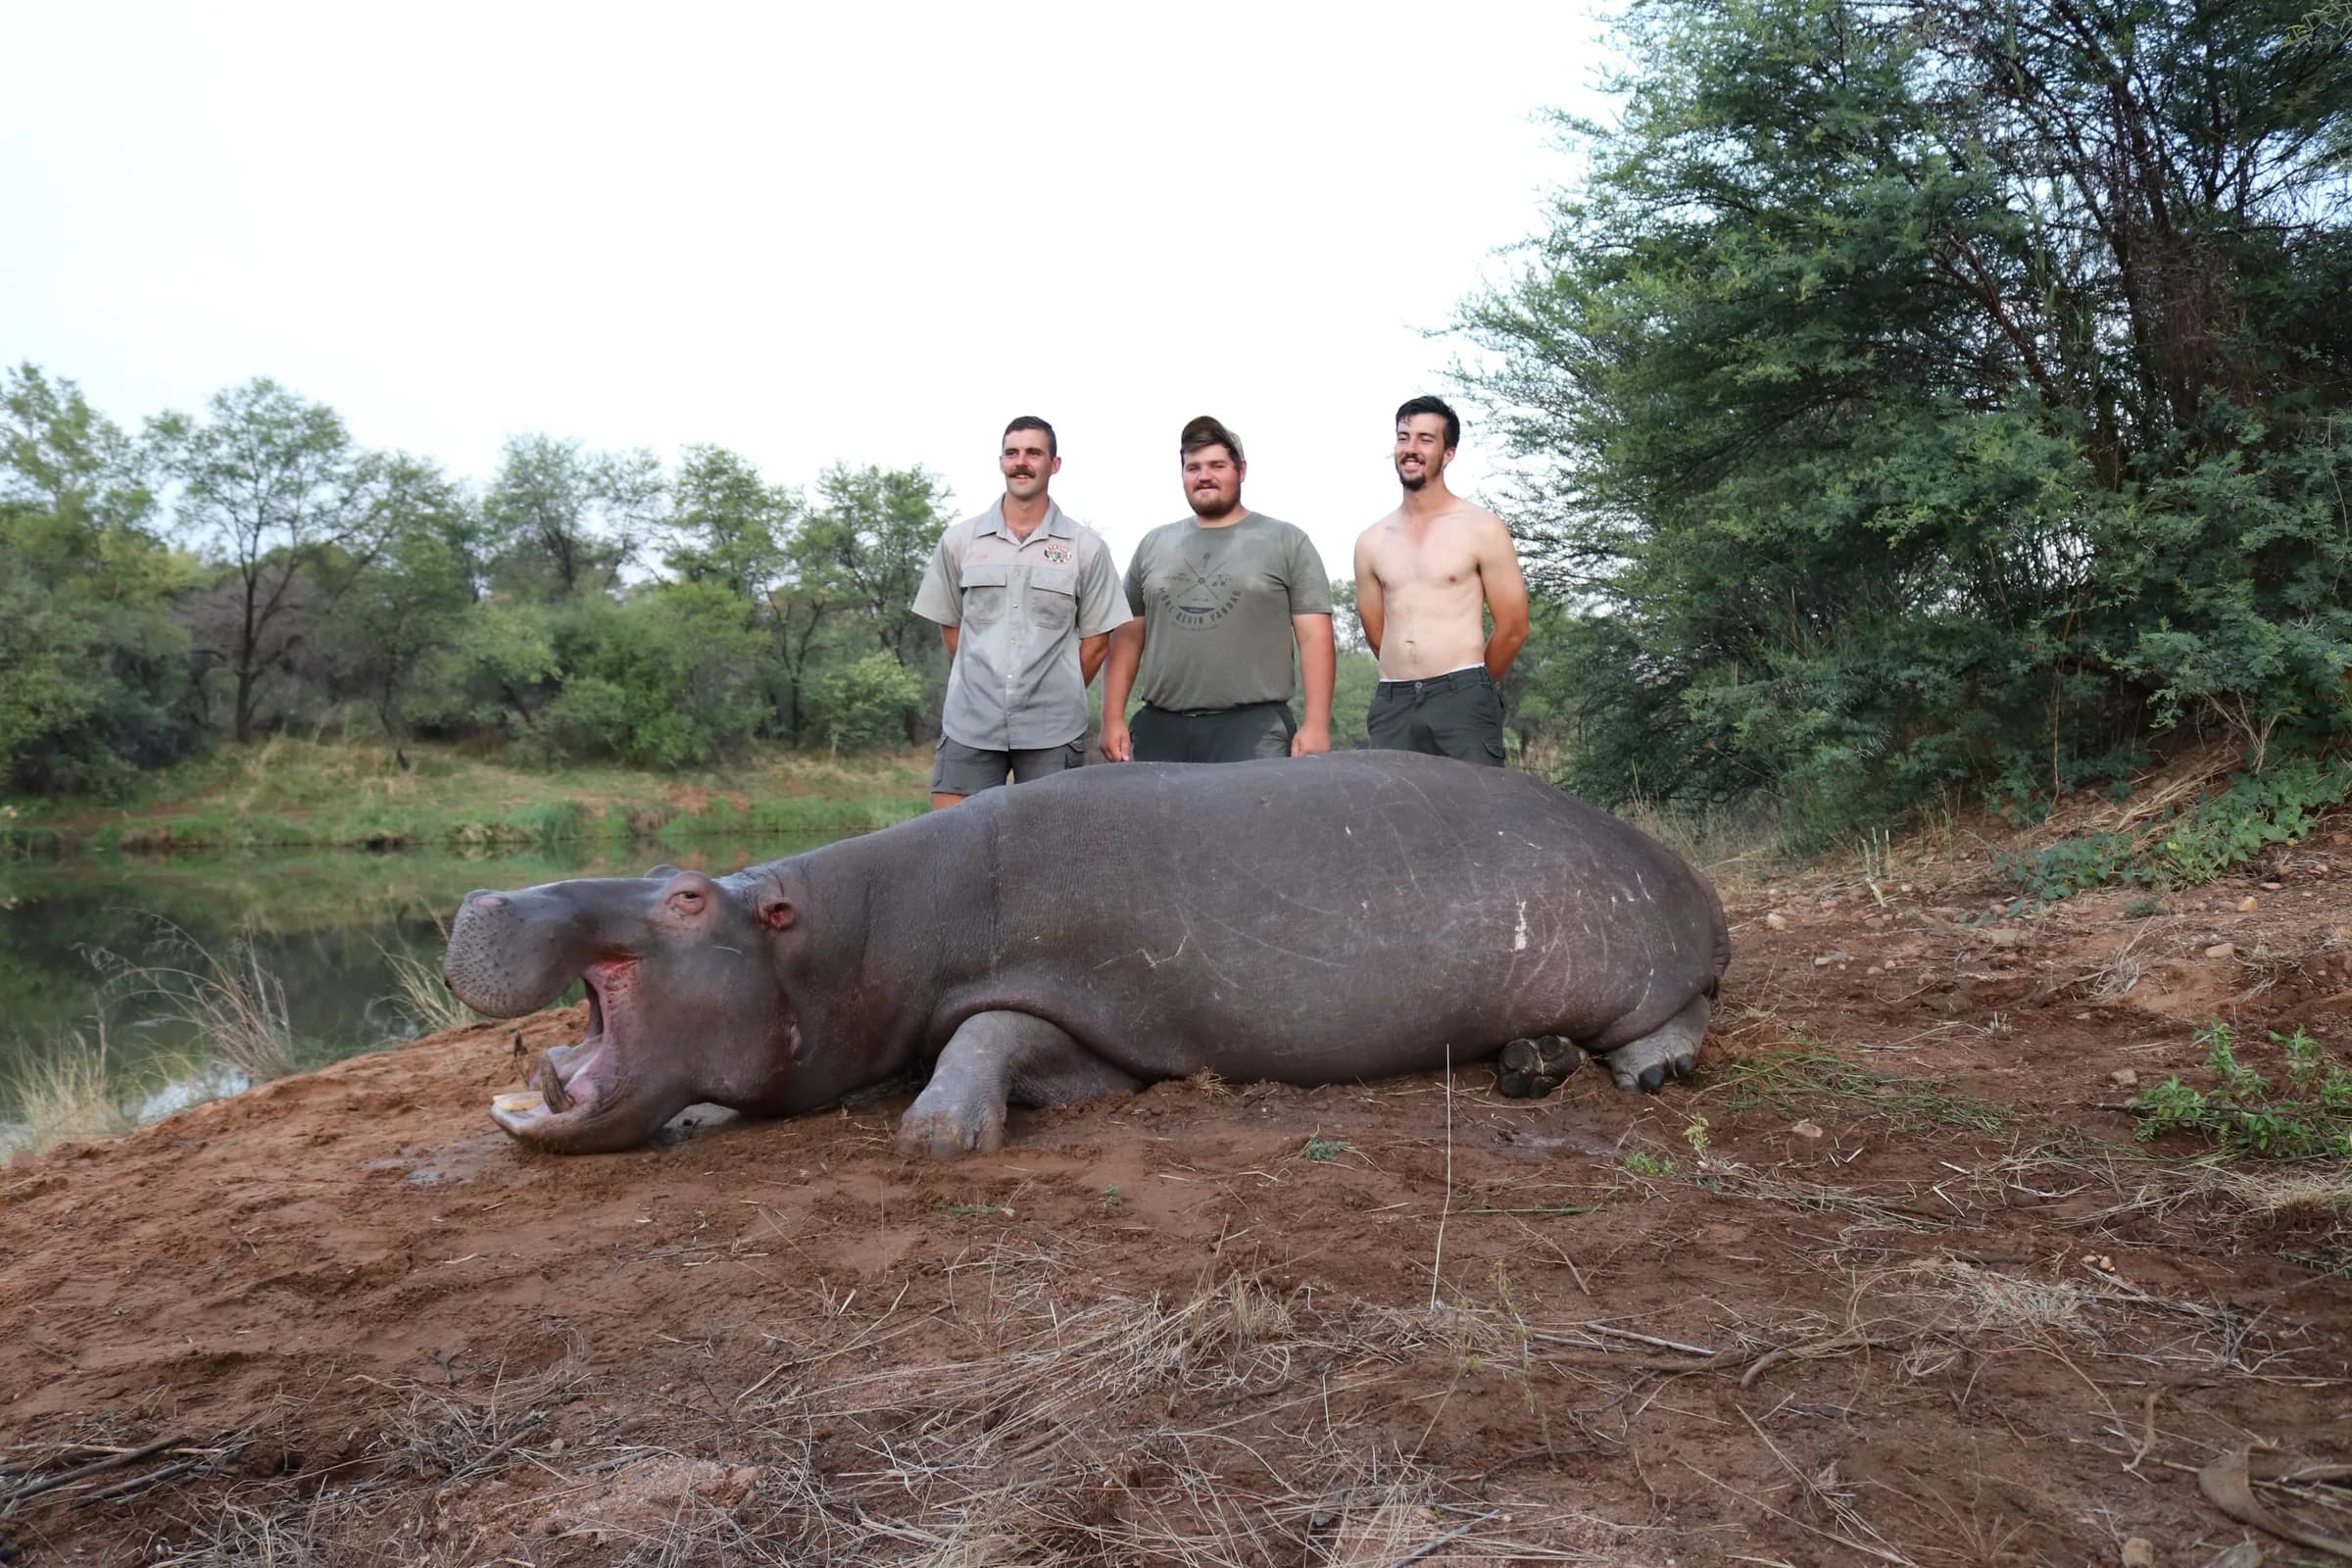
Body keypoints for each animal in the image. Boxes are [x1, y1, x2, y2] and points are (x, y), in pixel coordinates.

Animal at [442, 751, 1731, 1156]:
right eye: (671, 869)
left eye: (688, 896)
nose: (484, 891)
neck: (848, 935)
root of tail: (1688, 874)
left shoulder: (1085, 1021)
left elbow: (986, 1032)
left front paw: (938, 1132)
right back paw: (1527, 1066)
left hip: (1647, 956)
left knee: (1685, 1015)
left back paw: (1644, 1072)